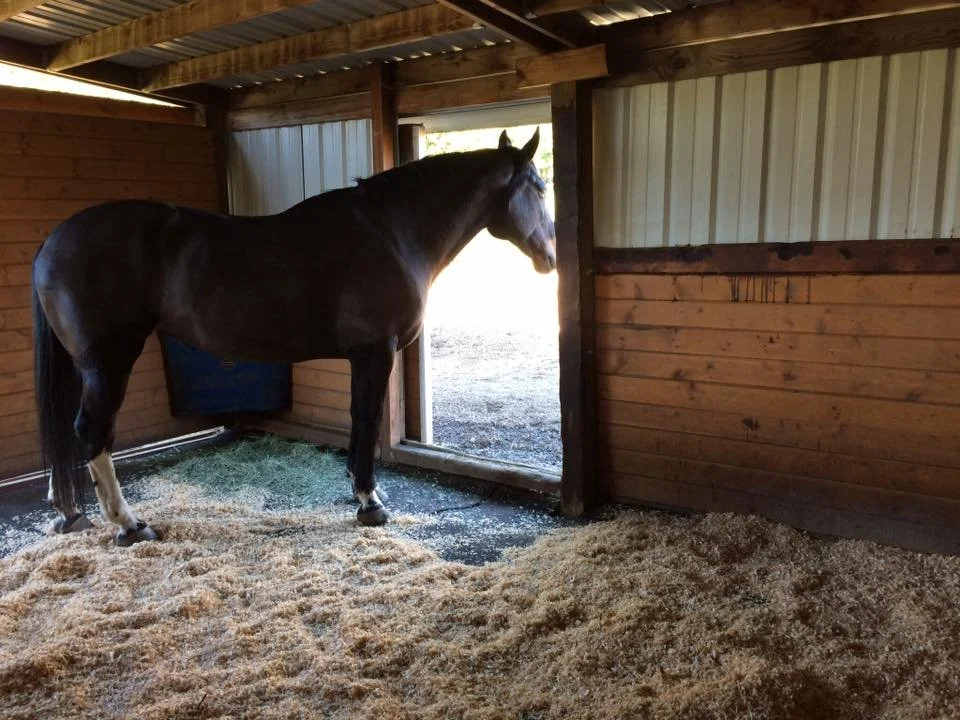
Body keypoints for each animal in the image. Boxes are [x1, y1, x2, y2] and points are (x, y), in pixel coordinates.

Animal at [31, 128, 555, 545]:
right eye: (539, 186)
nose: (551, 256)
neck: (391, 231)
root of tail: (52, 242)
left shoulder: (363, 357)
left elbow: (357, 420)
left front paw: (363, 490)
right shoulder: (374, 353)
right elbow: (366, 420)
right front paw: (369, 502)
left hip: (83, 366)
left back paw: (68, 512)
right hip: (109, 362)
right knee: (92, 432)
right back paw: (129, 524)